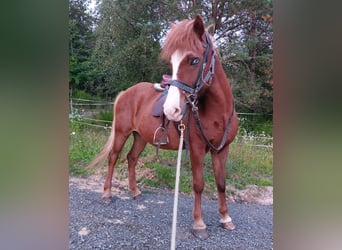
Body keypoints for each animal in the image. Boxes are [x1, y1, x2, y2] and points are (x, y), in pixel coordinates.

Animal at [88, 14, 238, 239]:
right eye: (172, 62)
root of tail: (126, 92)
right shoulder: (196, 149)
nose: (171, 110)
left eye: (194, 60)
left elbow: (221, 183)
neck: (218, 113)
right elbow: (199, 185)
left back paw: (135, 192)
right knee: (113, 158)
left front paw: (226, 218)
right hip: (122, 133)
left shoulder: (221, 149)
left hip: (140, 137)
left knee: (131, 158)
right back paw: (107, 194)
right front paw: (199, 224)